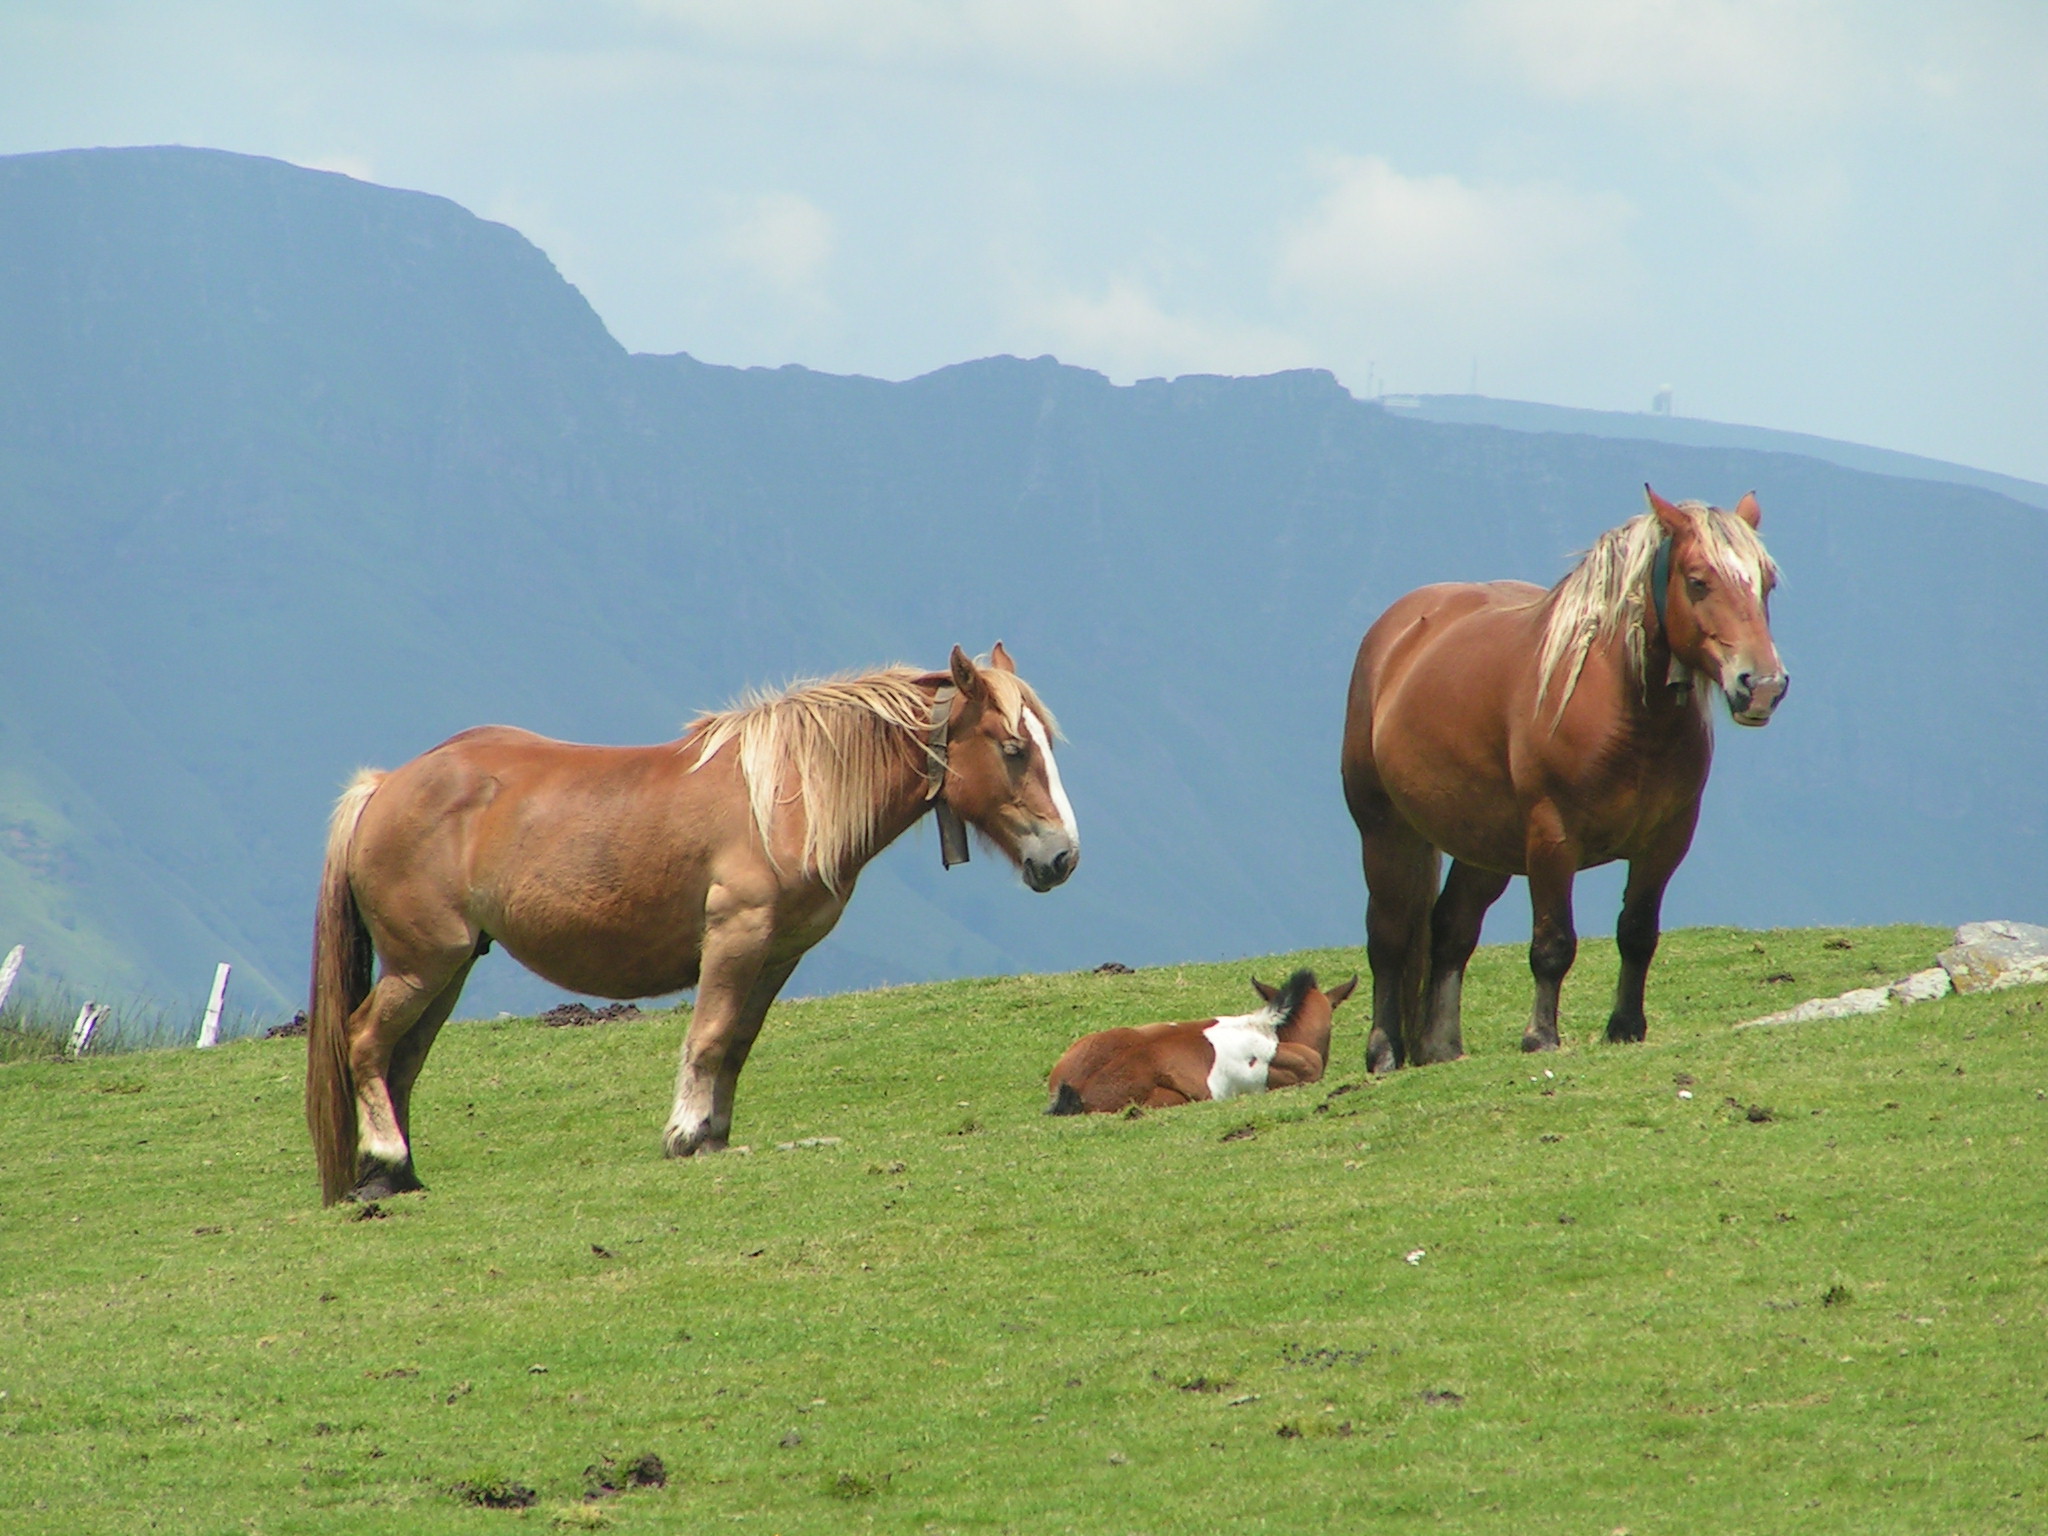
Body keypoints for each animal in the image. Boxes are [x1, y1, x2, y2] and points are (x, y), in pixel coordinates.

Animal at [303, 643, 1081, 1212]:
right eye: (1013, 748)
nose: (1063, 856)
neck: (792, 793)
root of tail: (385, 786)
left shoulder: (778, 955)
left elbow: (735, 1043)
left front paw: (714, 1135)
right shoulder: (736, 937)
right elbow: (706, 1037)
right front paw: (684, 1133)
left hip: (450, 968)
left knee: (403, 1059)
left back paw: (393, 1176)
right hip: (423, 963)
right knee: (366, 1041)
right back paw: (387, 1157)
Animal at [1335, 489, 1785, 1073]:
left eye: (1766, 582)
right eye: (1697, 580)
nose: (1763, 685)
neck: (1626, 716)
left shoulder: (1667, 841)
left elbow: (1637, 933)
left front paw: (1625, 1027)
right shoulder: (1552, 839)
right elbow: (1552, 944)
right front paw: (1540, 1036)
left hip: (1486, 848)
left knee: (1451, 929)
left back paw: (1442, 1047)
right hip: (1385, 832)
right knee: (1388, 936)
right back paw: (1385, 1049)